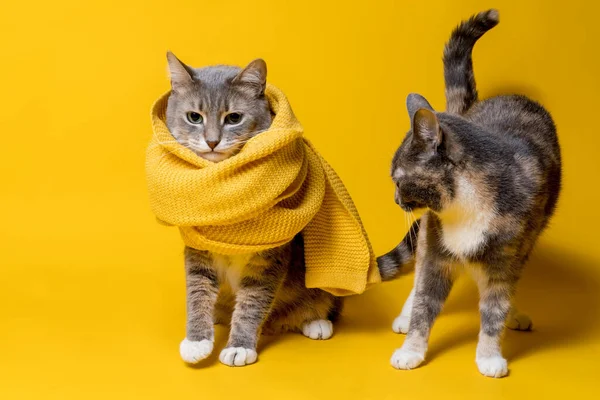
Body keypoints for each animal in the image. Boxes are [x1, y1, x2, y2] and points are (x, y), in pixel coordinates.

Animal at [164, 52, 342, 366]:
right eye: (194, 117)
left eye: (234, 118)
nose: (212, 141)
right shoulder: (198, 251)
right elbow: (197, 293)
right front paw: (197, 341)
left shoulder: (269, 259)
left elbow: (252, 300)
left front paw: (239, 347)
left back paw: (315, 321)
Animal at [378, 9, 560, 378]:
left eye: (398, 180)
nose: (395, 200)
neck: (464, 206)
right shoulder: (436, 250)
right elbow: (424, 303)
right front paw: (412, 350)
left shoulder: (506, 254)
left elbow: (494, 306)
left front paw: (489, 355)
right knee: (417, 277)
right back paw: (405, 315)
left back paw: (515, 314)